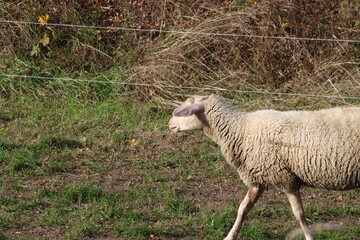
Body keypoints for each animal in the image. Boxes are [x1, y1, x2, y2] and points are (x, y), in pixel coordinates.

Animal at [169, 94, 360, 239]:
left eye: (186, 111)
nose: (169, 124)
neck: (241, 129)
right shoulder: (258, 177)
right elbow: (243, 208)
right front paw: (230, 236)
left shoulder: (285, 179)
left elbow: (299, 214)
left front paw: (309, 237)